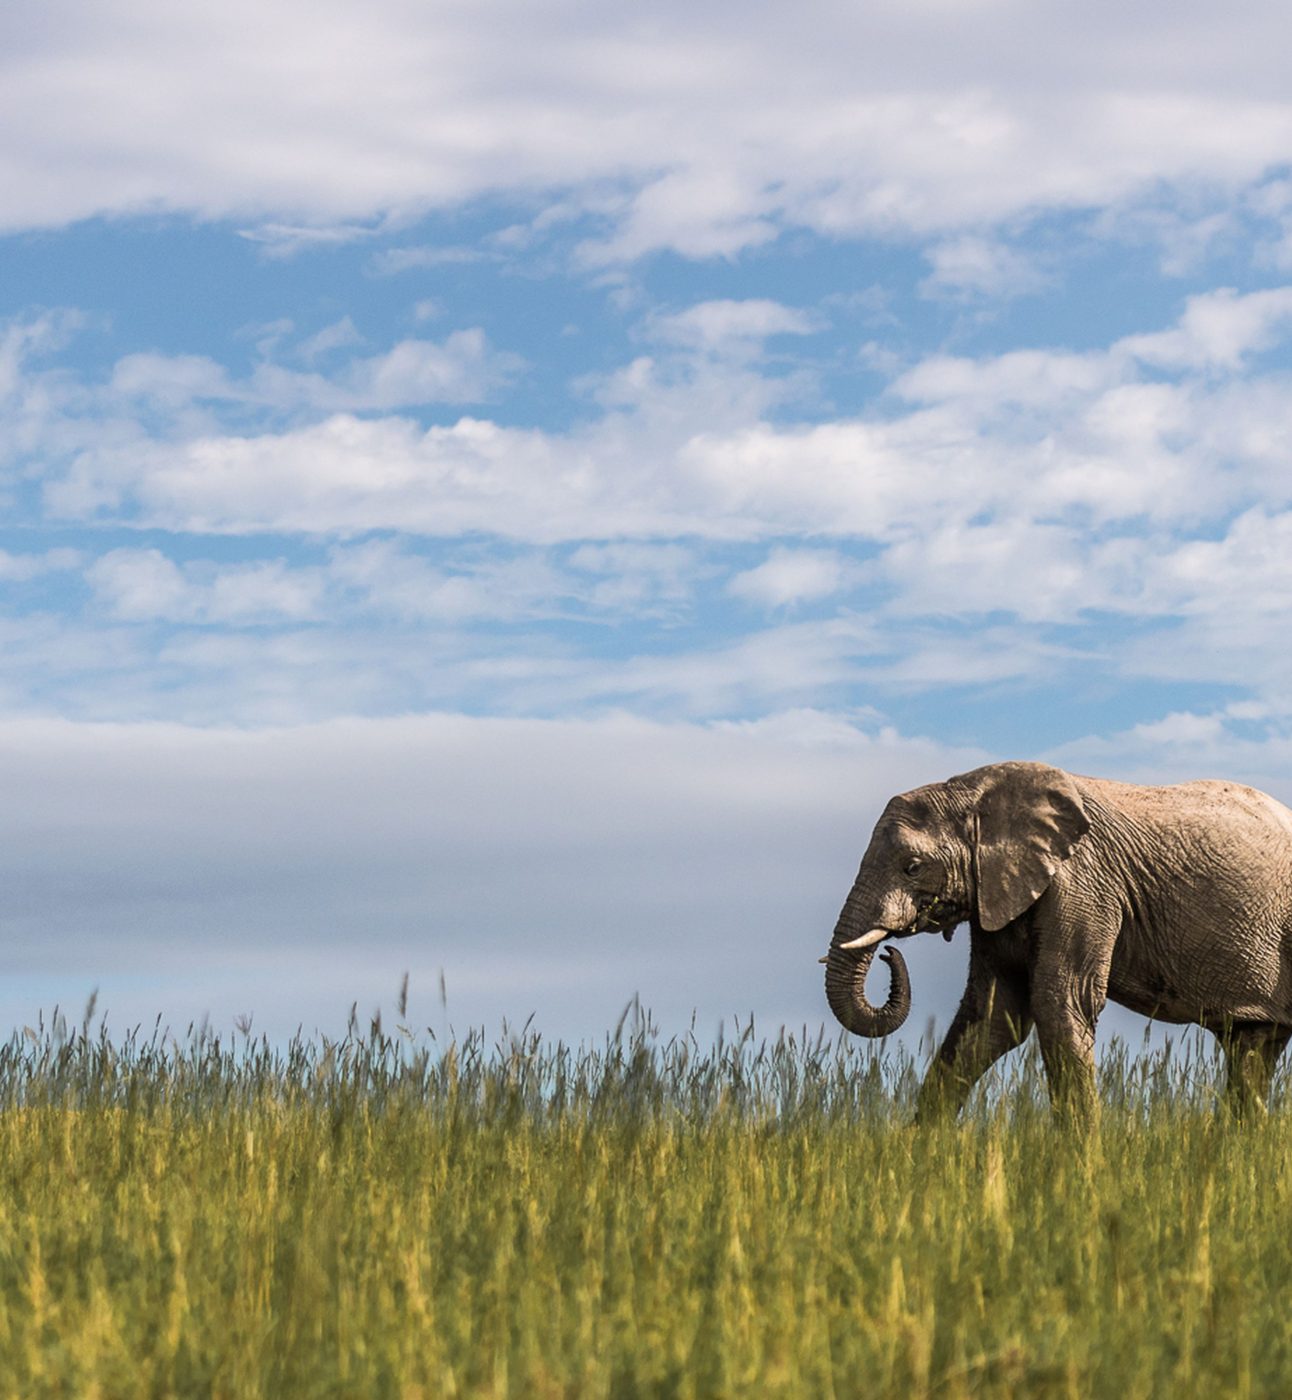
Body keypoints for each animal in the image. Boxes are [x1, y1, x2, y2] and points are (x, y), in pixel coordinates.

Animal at [823, 761, 1292, 1120]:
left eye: (913, 866)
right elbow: (993, 1015)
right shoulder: (1000, 892)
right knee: (1253, 1049)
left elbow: (1060, 1000)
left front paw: (1083, 1165)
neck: (976, 792)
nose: (889, 952)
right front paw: (920, 1153)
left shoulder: (1081, 881)